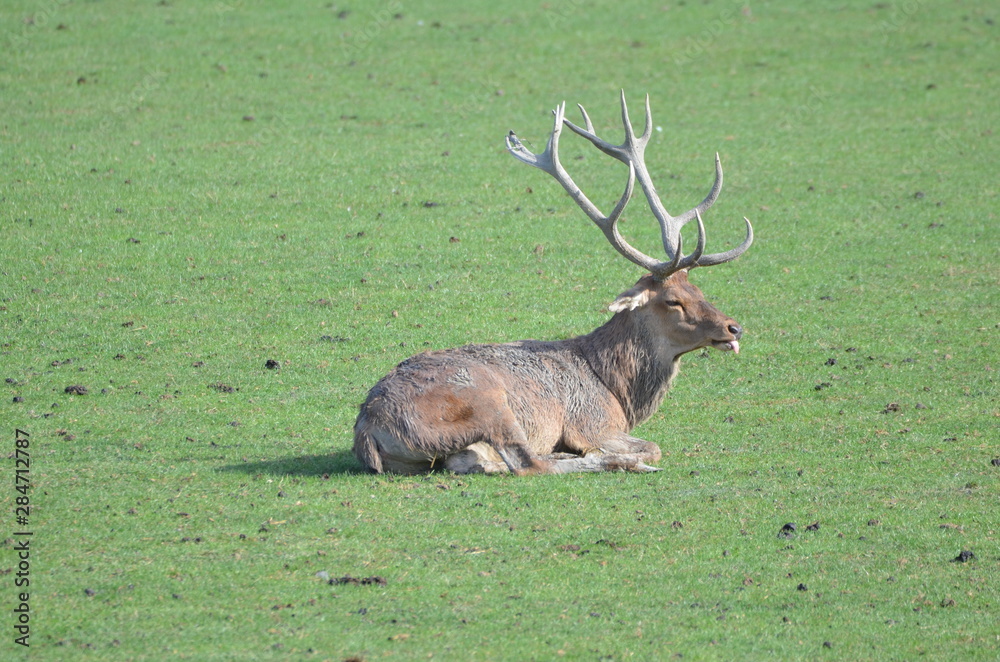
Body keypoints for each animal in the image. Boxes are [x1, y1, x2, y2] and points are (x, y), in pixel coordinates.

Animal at [353, 91, 753, 475]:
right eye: (672, 300)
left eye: (698, 290)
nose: (733, 327)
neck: (616, 388)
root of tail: (369, 428)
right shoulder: (591, 422)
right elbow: (652, 446)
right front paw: (617, 455)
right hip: (488, 403)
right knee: (525, 463)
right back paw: (611, 462)